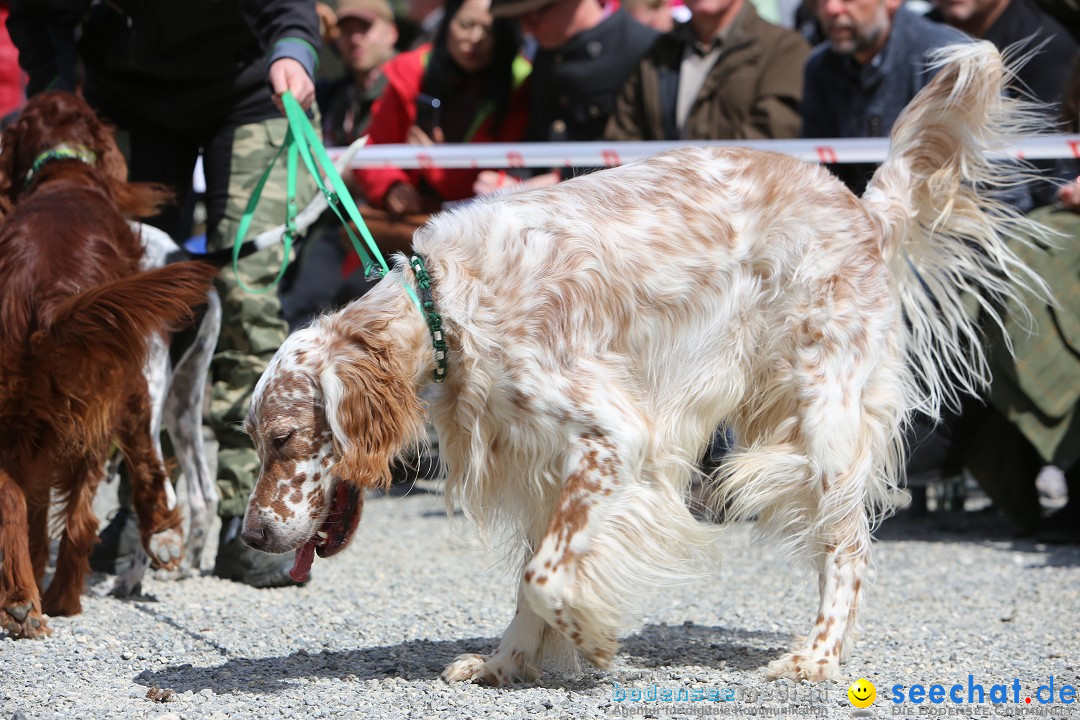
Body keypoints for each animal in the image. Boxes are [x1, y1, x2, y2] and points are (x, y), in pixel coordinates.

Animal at [0, 92, 217, 639]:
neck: (63, 172)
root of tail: (48, 300)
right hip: (136, 391)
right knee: (119, 499)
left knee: (21, 503)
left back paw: (25, 601)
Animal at [240, 42, 1049, 686]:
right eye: (253, 442)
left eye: (282, 439)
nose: (249, 537)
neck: (448, 308)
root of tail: (864, 207)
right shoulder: (541, 462)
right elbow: (532, 575)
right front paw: (508, 662)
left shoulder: (615, 438)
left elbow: (544, 572)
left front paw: (593, 642)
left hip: (825, 416)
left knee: (847, 547)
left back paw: (817, 656)